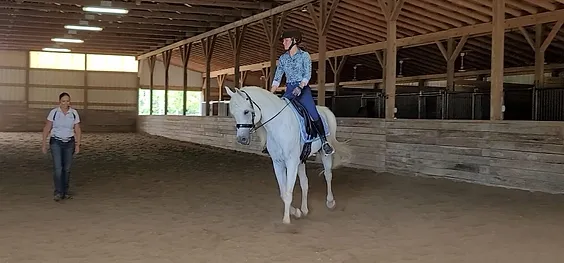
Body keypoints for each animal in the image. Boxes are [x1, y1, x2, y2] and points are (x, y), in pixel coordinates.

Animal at [224, 86, 348, 225]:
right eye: (233, 114)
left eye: (246, 111)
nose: (242, 139)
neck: (279, 125)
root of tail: (324, 110)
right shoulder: (278, 163)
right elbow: (283, 193)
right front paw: (296, 212)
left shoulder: (291, 163)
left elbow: (288, 193)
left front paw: (286, 219)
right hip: (301, 160)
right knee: (305, 183)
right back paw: (304, 209)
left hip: (324, 154)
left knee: (328, 175)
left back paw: (330, 202)